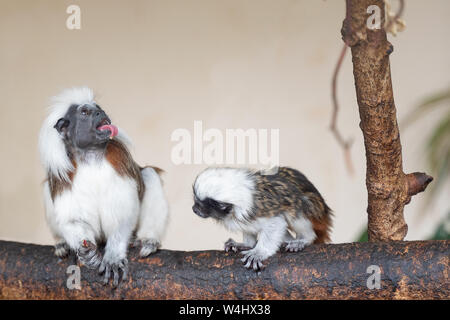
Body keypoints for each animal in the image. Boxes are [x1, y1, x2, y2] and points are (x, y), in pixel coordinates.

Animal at [38, 87, 169, 284]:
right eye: (85, 112)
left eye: (98, 108)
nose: (101, 113)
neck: (90, 155)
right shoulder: (60, 174)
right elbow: (71, 219)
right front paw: (86, 253)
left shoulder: (120, 158)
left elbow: (123, 215)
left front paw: (113, 257)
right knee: (48, 189)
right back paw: (62, 243)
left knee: (149, 175)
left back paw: (148, 240)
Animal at [192, 166, 332, 272]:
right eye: (195, 202)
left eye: (200, 205)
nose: (194, 209)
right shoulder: (245, 215)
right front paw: (245, 244)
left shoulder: (262, 209)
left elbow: (277, 223)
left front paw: (259, 252)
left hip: (314, 211)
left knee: (298, 205)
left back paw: (304, 239)